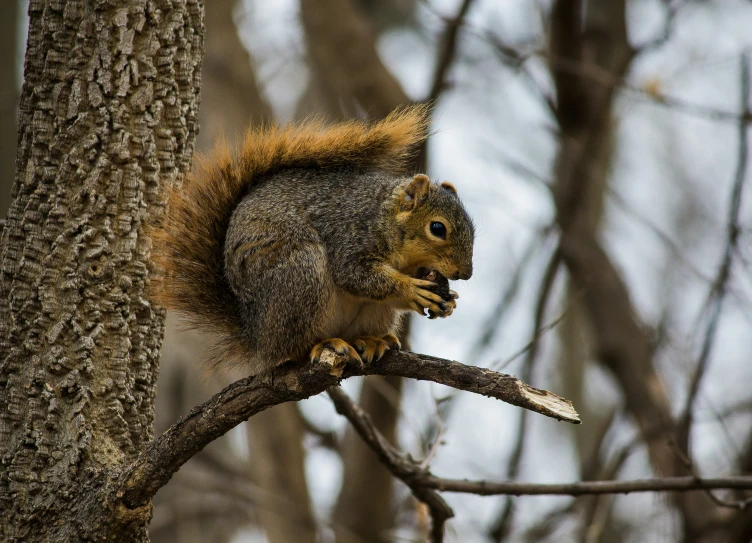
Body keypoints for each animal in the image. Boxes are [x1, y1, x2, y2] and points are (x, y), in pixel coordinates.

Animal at [150, 104, 472, 376]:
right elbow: (356, 276)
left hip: (372, 312)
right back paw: (323, 344)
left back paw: (370, 340)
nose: (465, 274)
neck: (386, 218)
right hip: (301, 278)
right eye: (437, 228)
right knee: (294, 349)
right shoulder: (349, 234)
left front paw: (448, 301)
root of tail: (257, 337)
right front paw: (412, 289)